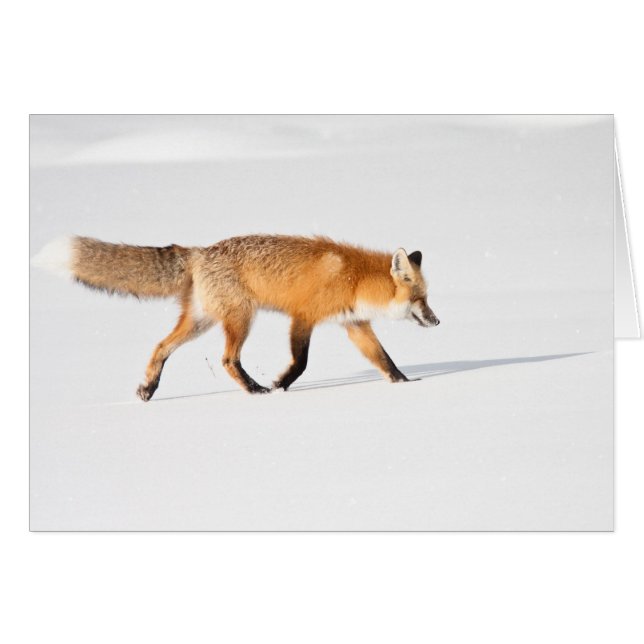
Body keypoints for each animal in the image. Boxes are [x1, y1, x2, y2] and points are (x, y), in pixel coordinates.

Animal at [33, 234, 440, 400]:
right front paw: (279, 385)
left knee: (161, 346)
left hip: (201, 322)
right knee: (229, 359)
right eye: (421, 299)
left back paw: (148, 388)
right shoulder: (303, 317)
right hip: (241, 318)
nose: (437, 322)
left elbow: (384, 359)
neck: (355, 279)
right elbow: (301, 362)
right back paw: (255, 390)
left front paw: (404, 383)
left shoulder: (353, 324)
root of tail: (198, 252)